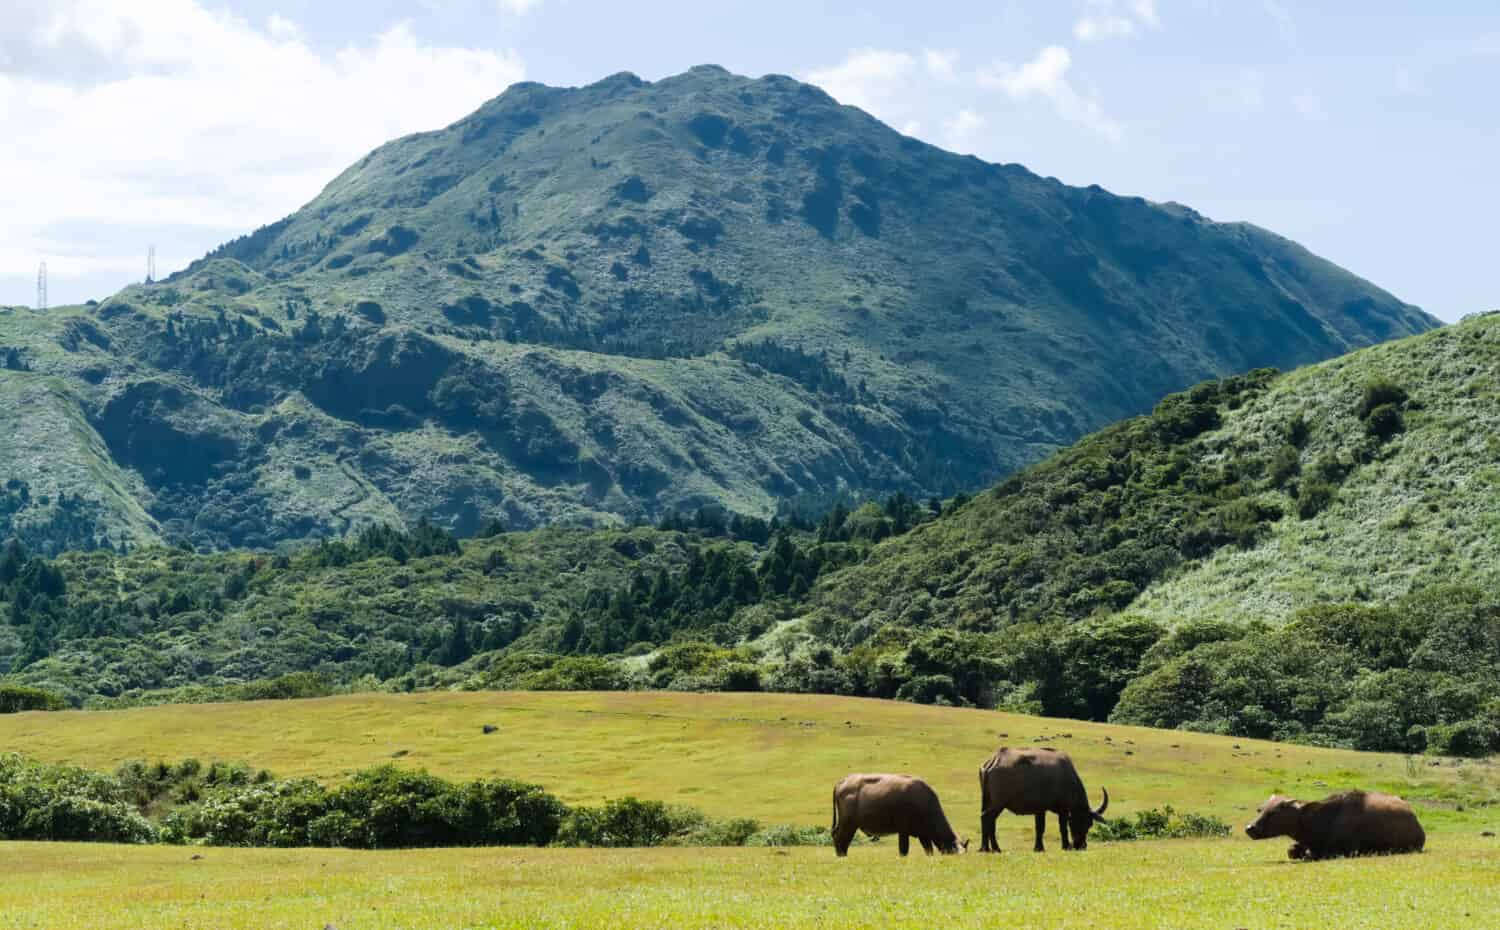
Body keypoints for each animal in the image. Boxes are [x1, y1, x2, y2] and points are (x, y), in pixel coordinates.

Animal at [828, 768, 966, 858]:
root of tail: (842, 782)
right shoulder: (903, 831)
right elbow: (903, 850)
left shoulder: (923, 835)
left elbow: (928, 850)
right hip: (848, 824)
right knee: (840, 837)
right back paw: (842, 856)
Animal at [978, 744, 1110, 852]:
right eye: (1076, 822)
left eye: (1089, 825)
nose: (1081, 846)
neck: (1066, 778)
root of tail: (994, 760)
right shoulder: (1062, 810)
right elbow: (1061, 828)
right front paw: (1065, 846)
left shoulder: (1040, 810)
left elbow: (1039, 828)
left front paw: (1038, 848)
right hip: (998, 803)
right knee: (987, 818)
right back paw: (992, 848)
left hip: (988, 801)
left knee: (989, 821)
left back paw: (987, 848)